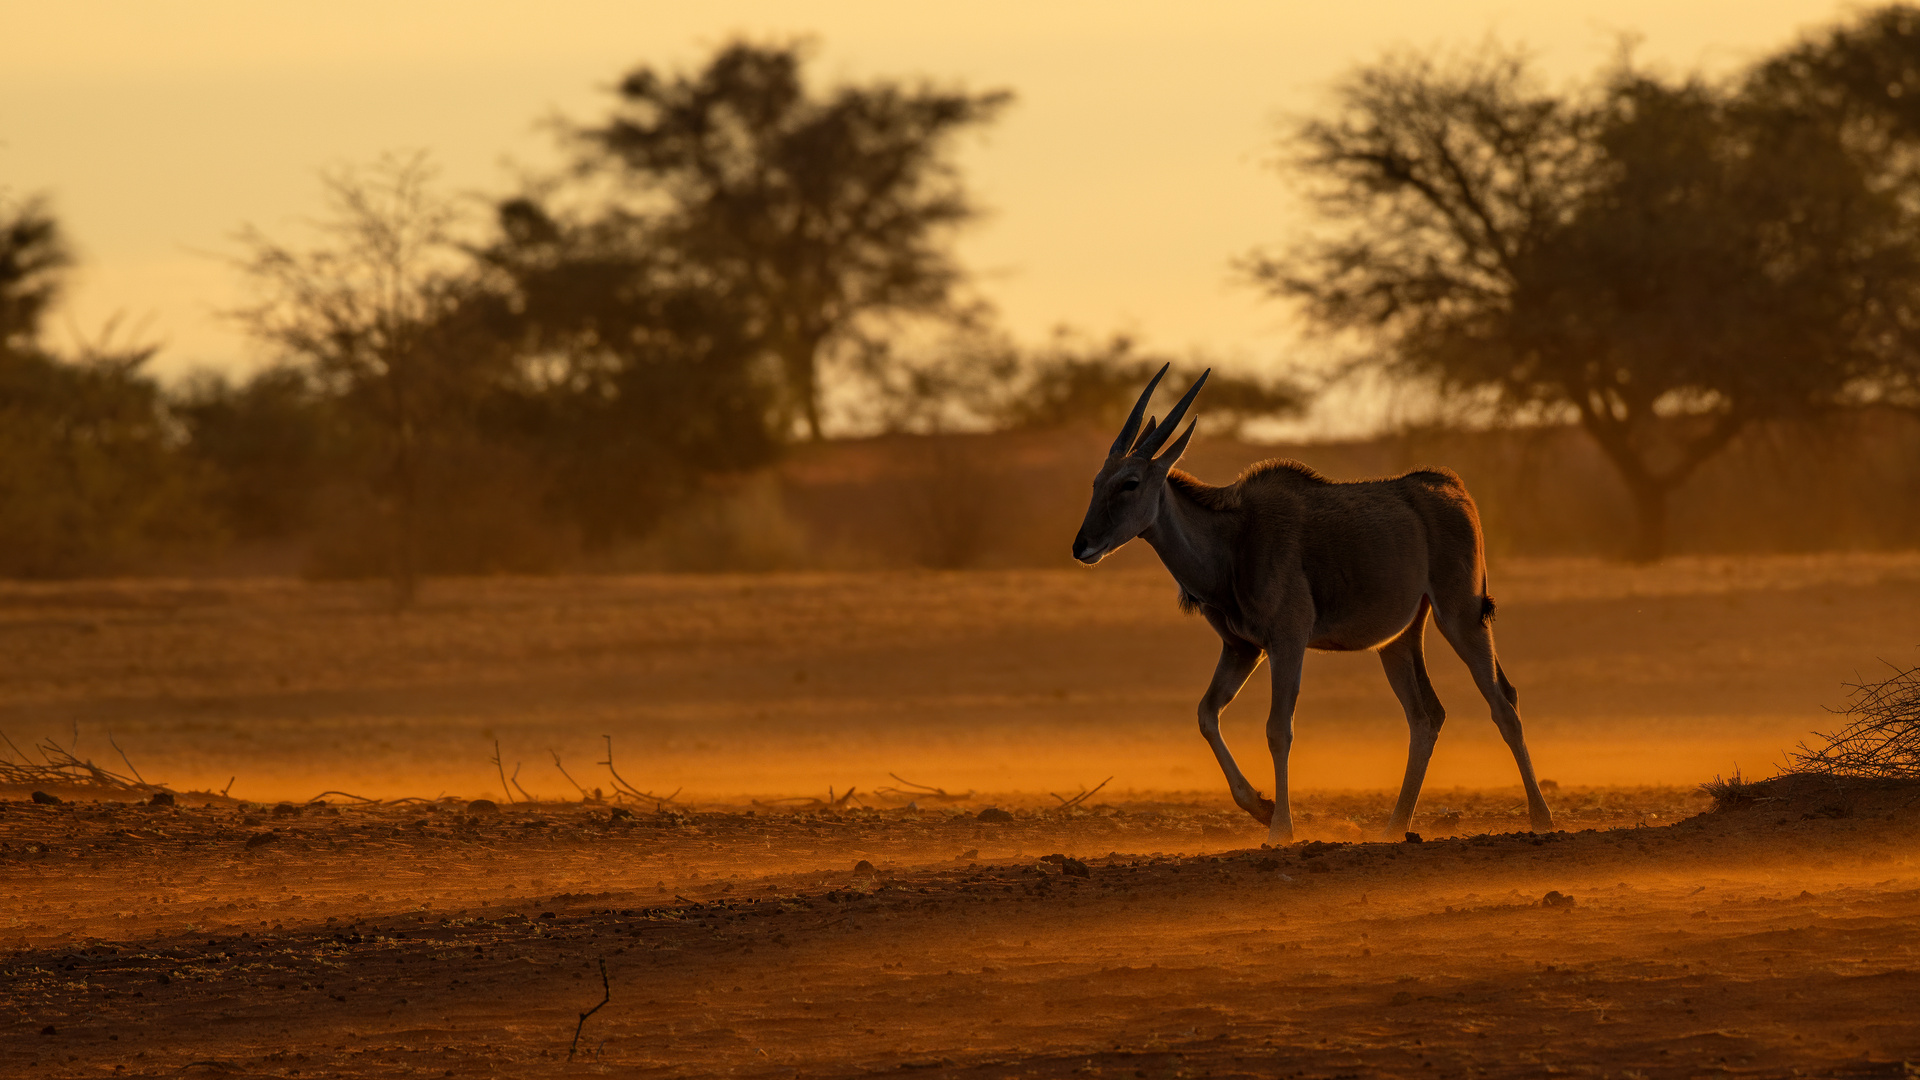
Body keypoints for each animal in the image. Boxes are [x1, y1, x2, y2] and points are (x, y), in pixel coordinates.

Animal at [1075, 361, 1551, 841]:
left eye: (1130, 483)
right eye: (1096, 482)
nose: (1082, 546)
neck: (1232, 539)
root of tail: (1452, 487)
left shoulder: (1286, 641)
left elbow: (1277, 729)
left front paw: (1280, 828)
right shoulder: (1242, 648)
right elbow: (1207, 714)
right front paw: (1261, 807)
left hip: (1460, 617)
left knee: (1503, 705)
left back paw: (1541, 818)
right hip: (1398, 640)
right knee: (1426, 717)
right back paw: (1394, 827)